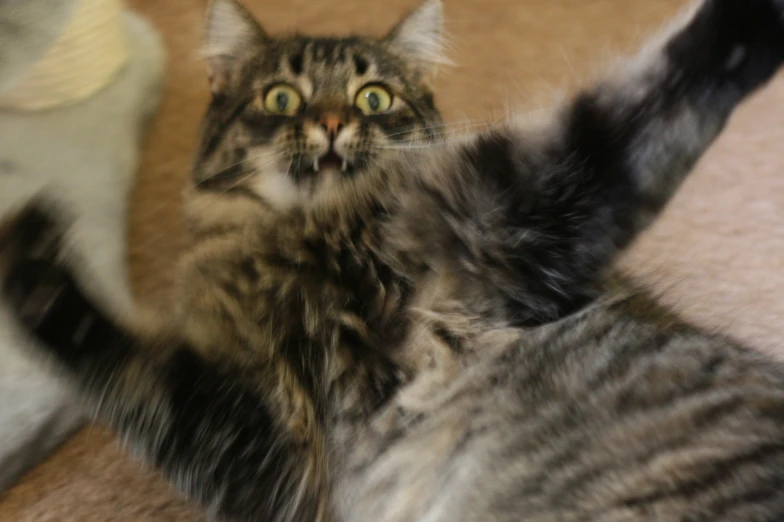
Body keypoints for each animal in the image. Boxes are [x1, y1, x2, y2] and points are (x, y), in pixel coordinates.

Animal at [1, 0, 784, 516]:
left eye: (373, 97)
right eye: (281, 98)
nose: (331, 122)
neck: (306, 238)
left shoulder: (510, 221)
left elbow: (634, 116)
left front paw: (750, 20)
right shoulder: (265, 452)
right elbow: (123, 368)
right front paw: (28, 255)